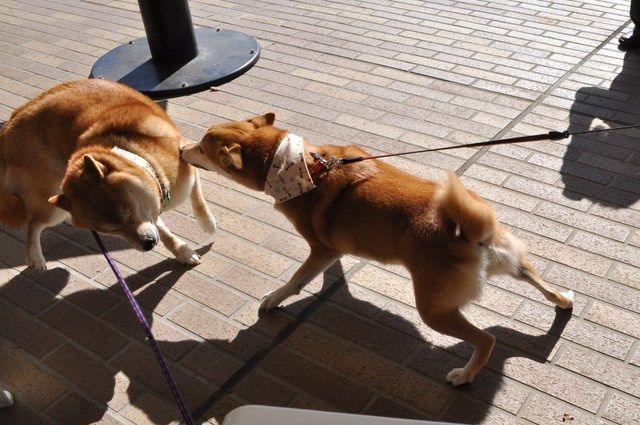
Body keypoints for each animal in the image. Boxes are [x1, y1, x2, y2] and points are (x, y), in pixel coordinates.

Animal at [0, 79, 216, 271]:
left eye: (130, 213)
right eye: (112, 230)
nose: (147, 244)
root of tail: (7, 129)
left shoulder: (187, 159)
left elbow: (197, 197)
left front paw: (206, 223)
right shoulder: (151, 208)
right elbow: (163, 231)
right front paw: (182, 251)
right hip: (49, 203)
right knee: (34, 223)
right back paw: (34, 256)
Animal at [180, 112, 574, 385]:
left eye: (202, 146)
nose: (182, 150)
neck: (299, 167)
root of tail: (469, 233)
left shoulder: (320, 249)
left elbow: (295, 280)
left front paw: (275, 299)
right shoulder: (331, 253)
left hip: (433, 310)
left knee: (487, 339)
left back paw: (464, 375)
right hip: (511, 262)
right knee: (537, 280)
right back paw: (563, 300)